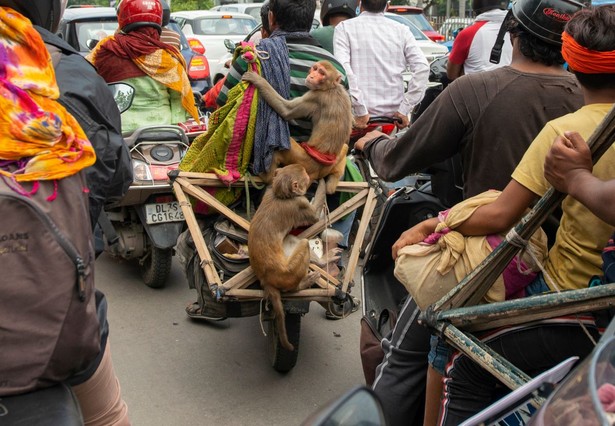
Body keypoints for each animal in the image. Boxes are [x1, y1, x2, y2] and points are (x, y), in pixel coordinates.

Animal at [243, 60, 354, 193]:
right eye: (315, 69)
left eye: (322, 73)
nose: (312, 76)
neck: (330, 88)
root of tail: (317, 173)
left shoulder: (314, 96)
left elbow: (286, 110)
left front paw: (257, 80)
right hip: (330, 163)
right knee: (345, 146)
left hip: (302, 160)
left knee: (278, 148)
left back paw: (266, 176)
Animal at [249, 163, 328, 350]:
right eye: (305, 174)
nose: (310, 175)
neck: (280, 195)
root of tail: (265, 280)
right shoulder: (300, 203)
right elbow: (315, 217)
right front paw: (323, 181)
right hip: (288, 274)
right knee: (304, 243)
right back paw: (304, 282)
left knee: (293, 238)